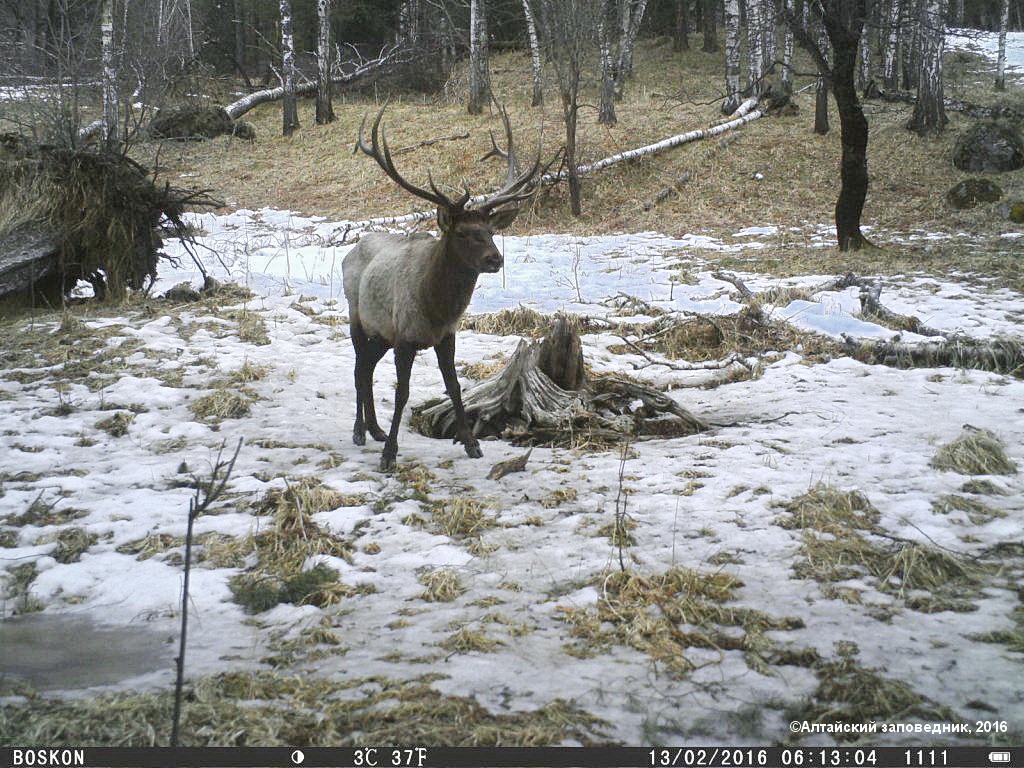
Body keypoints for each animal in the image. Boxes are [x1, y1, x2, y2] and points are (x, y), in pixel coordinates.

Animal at [342, 105, 540, 473]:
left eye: (490, 231)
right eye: (462, 233)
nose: (495, 258)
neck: (435, 308)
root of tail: (353, 248)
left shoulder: (446, 335)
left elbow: (455, 386)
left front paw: (472, 444)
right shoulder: (405, 338)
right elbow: (402, 393)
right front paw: (389, 454)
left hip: (382, 333)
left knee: (368, 368)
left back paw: (374, 429)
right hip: (356, 317)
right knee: (359, 368)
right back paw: (360, 431)